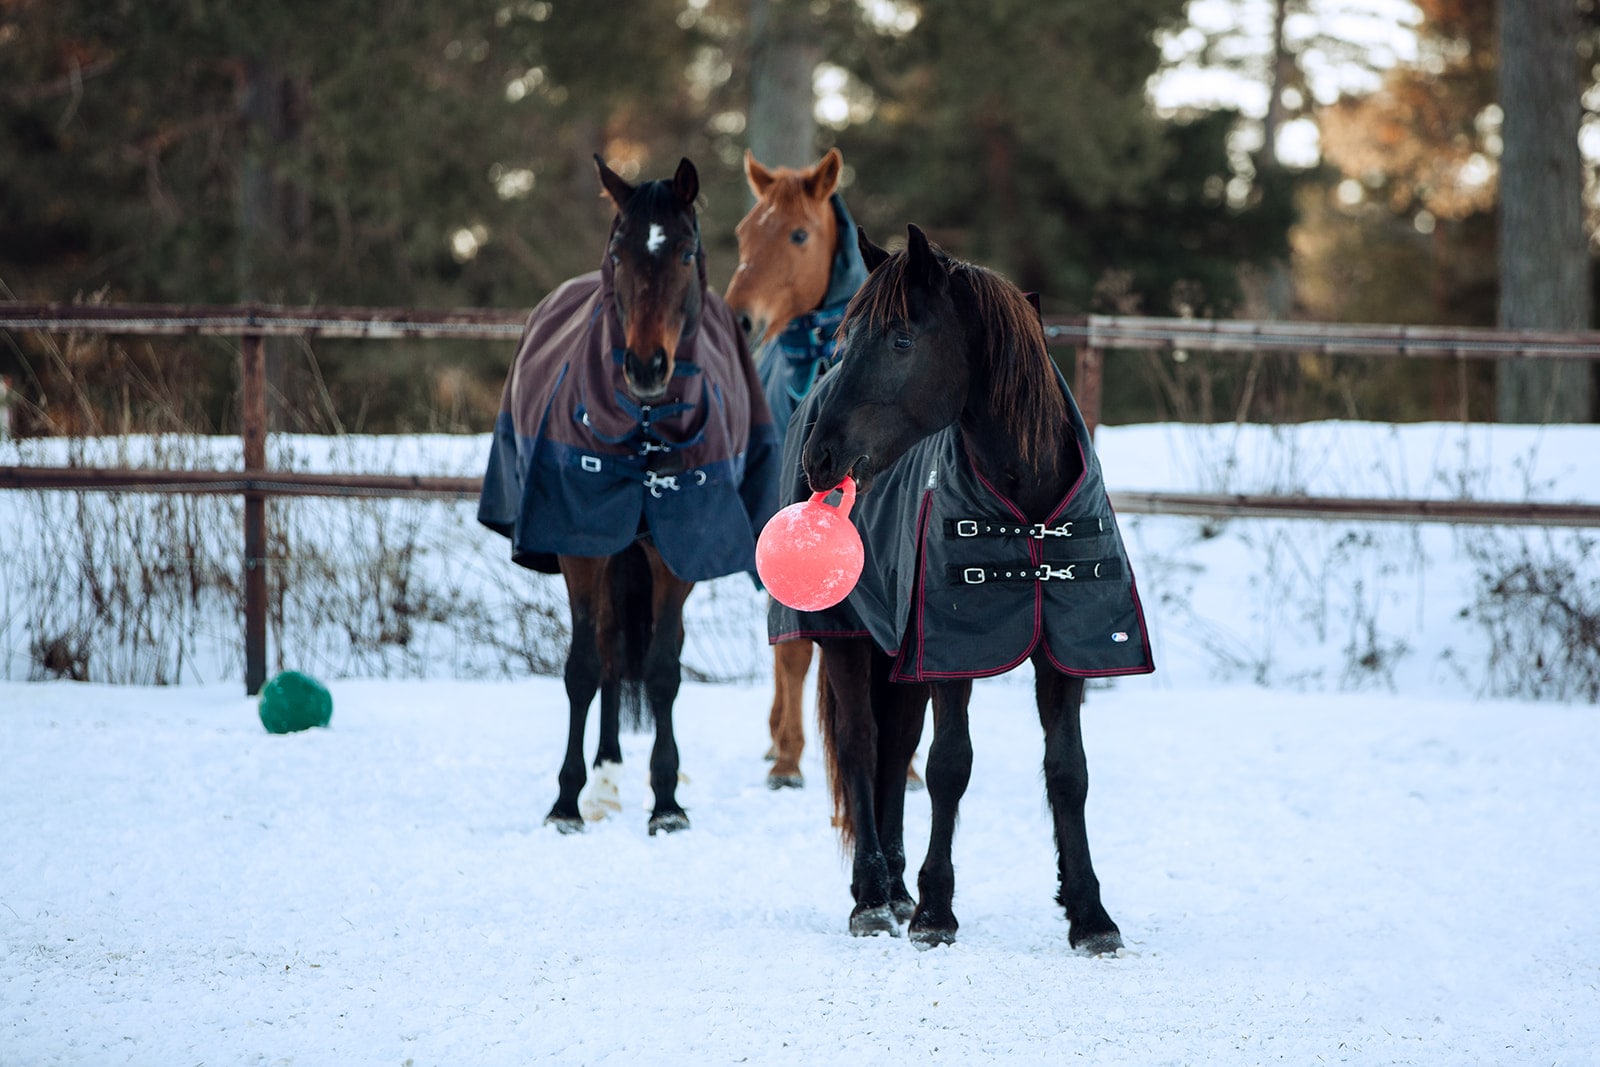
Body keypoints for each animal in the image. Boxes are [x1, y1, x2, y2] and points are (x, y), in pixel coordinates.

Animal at [480, 158, 780, 838]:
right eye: (618, 252)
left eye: (686, 251)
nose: (646, 367)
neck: (643, 431)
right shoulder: (581, 541)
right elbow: (585, 668)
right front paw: (566, 802)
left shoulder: (677, 549)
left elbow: (665, 671)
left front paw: (666, 801)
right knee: (612, 654)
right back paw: (607, 775)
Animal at [774, 225, 1152, 953]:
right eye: (845, 336)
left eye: (900, 339)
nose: (820, 459)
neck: (1028, 510)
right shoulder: (954, 654)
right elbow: (951, 766)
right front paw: (935, 911)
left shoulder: (1063, 656)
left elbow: (1069, 772)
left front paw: (1089, 912)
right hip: (846, 639)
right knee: (862, 745)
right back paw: (873, 898)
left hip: (900, 659)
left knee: (894, 749)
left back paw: (894, 888)